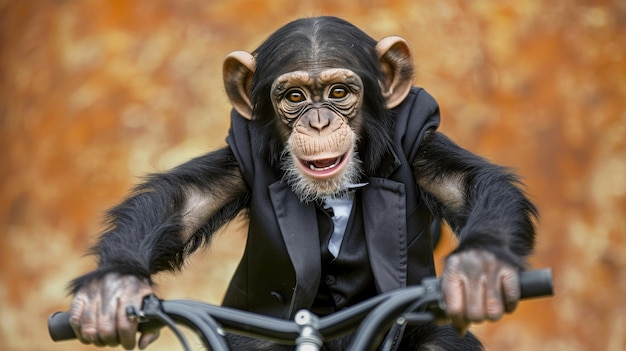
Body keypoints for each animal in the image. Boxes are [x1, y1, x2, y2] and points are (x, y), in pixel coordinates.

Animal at [67, 17, 536, 351]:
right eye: (294, 97)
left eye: (339, 92)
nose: (318, 121)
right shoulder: (244, 149)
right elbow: (183, 202)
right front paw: (114, 287)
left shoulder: (416, 134)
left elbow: (467, 183)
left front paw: (481, 266)